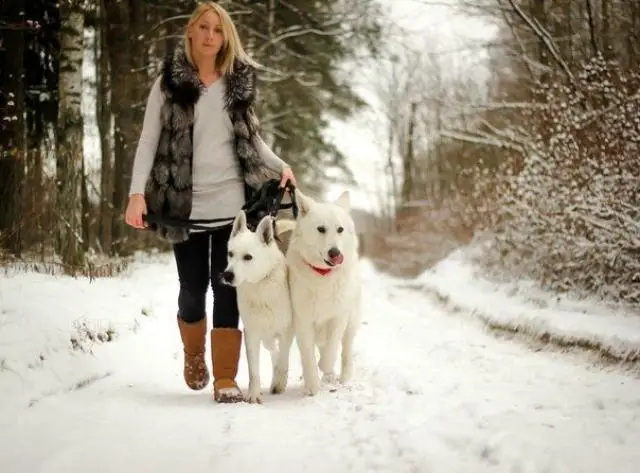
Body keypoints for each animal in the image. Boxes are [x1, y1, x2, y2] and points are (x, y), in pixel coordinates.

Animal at [222, 212, 296, 400]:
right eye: (230, 254)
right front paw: (254, 395)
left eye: (248, 257)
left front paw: (279, 382)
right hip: (267, 337)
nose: (227, 275)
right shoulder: (252, 333)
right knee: (274, 351)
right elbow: (254, 370)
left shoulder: (286, 330)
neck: (260, 284)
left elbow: (284, 358)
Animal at [278, 188, 362, 394]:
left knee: (346, 346)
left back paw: (343, 375)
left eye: (340, 229)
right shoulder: (302, 320)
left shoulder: (338, 316)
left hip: (352, 318)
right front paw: (312, 386)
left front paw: (325, 368)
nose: (335, 253)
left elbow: (331, 349)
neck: (323, 275)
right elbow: (308, 355)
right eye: (321, 229)